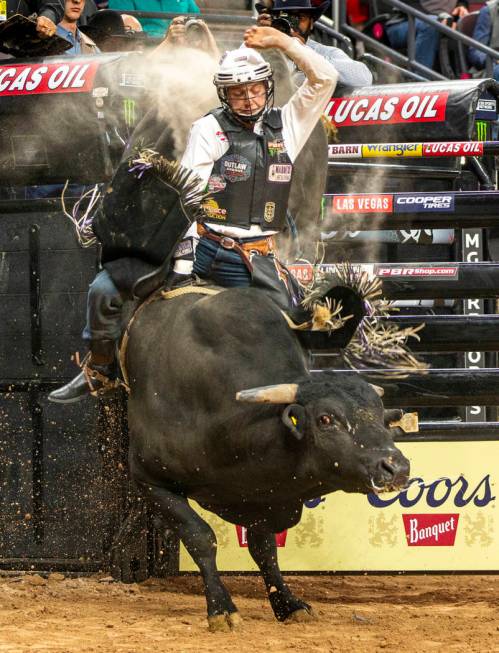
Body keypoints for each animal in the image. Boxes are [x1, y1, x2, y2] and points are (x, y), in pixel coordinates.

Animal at [123, 282, 412, 628]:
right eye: (325, 419)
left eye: (381, 416)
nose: (396, 467)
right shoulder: (149, 478)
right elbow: (201, 537)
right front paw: (221, 609)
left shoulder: (264, 494)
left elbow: (264, 550)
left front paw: (287, 603)